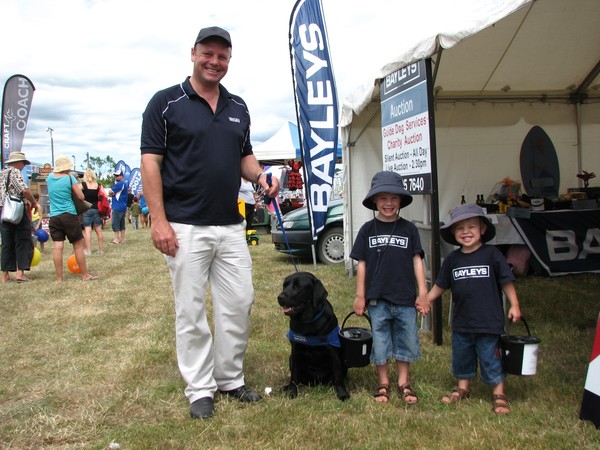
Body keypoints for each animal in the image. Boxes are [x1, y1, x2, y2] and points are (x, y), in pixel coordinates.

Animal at [278, 270, 350, 400]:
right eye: (284, 285)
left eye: (298, 286)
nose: (280, 298)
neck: (308, 321)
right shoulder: (295, 351)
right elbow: (294, 377)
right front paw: (292, 392)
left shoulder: (333, 352)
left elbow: (338, 376)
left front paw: (342, 393)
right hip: (291, 359)